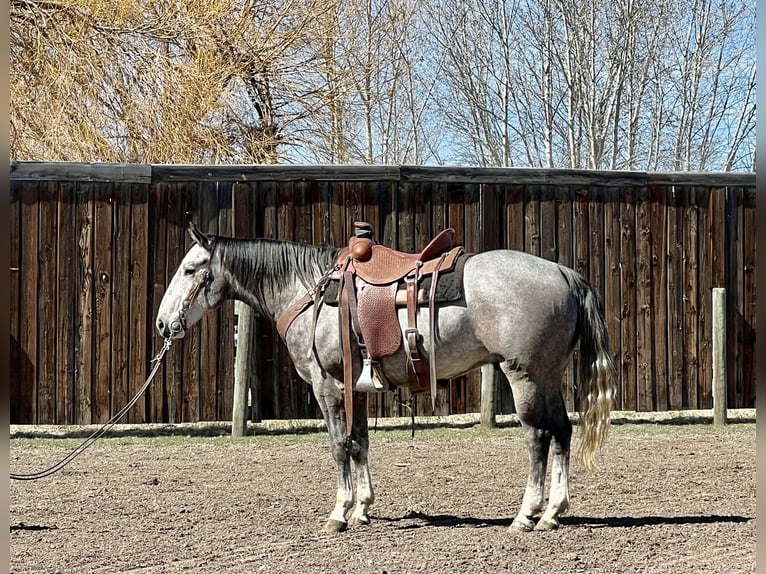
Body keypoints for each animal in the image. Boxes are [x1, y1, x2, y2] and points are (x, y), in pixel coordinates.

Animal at [156, 224, 616, 536]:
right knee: (562, 432)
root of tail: (563, 273)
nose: (163, 323)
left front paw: (339, 513)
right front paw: (362, 508)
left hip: (523, 375)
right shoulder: (355, 389)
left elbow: (339, 446)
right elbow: (360, 442)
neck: (308, 294)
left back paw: (526, 515)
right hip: (548, 376)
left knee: (538, 437)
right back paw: (553, 513)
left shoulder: (327, 387)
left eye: (190, 268)